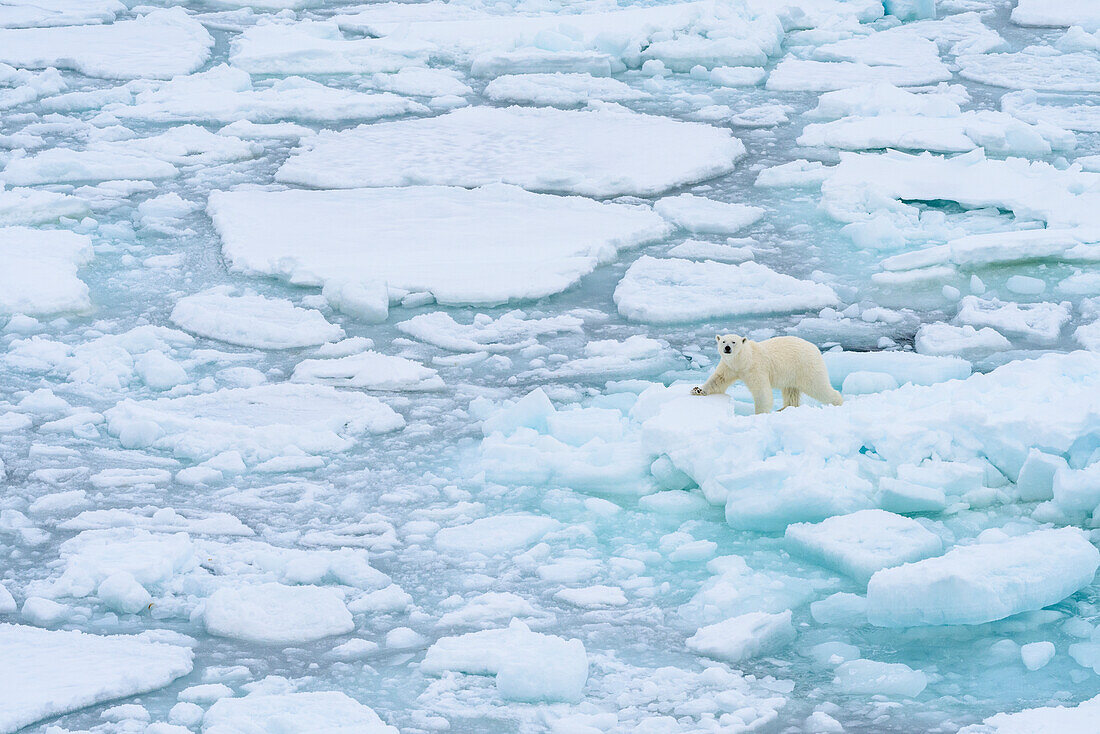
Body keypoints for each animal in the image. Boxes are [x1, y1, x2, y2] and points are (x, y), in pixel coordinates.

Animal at [690, 334, 844, 413]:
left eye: (733, 342)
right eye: (723, 341)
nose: (727, 348)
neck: (743, 360)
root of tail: (815, 348)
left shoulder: (755, 368)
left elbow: (762, 391)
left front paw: (760, 413)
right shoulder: (729, 366)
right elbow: (718, 380)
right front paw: (698, 390)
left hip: (806, 367)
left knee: (818, 387)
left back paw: (837, 402)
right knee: (791, 391)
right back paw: (784, 408)